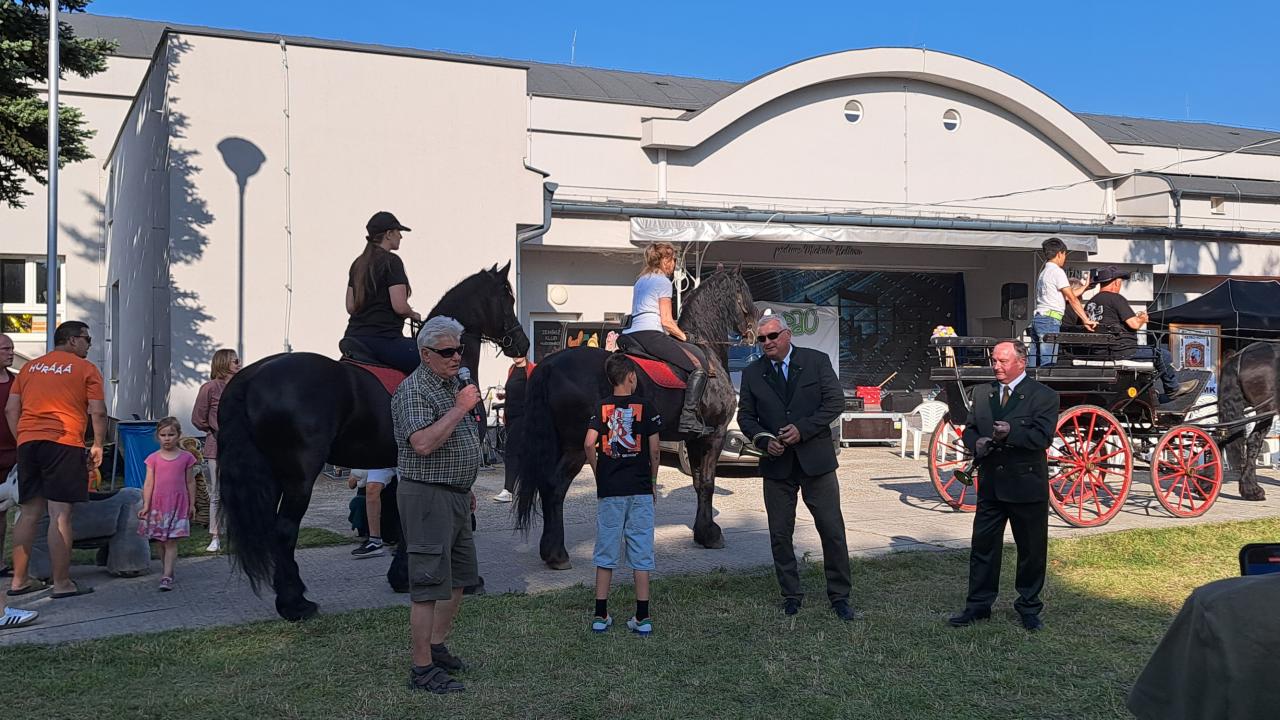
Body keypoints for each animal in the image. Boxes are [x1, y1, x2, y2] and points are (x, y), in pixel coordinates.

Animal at [219, 262, 528, 621]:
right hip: (298, 476)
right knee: (284, 530)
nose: (522, 344)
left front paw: (402, 577)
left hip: (270, 475)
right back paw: (295, 603)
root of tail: (252, 375)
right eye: (507, 298)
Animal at [514, 266, 757, 569]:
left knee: (547, 487)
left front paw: (702, 532)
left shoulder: (693, 439)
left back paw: (550, 551)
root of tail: (550, 364)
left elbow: (698, 482)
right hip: (577, 447)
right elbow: (708, 484)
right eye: (745, 291)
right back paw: (557, 554)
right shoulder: (715, 434)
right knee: (554, 487)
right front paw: (711, 535)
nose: (754, 329)